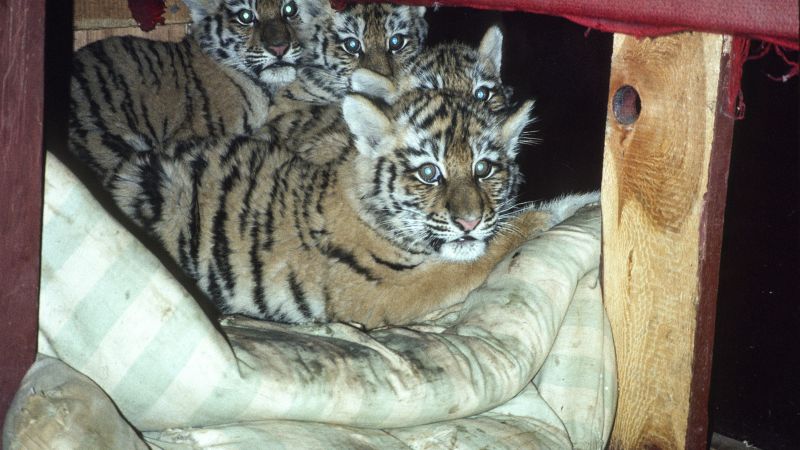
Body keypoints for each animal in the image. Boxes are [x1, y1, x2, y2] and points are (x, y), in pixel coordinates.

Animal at [103, 88, 550, 328]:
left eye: (483, 168)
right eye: (429, 172)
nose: (469, 221)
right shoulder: (381, 293)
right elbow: (465, 267)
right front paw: (545, 215)